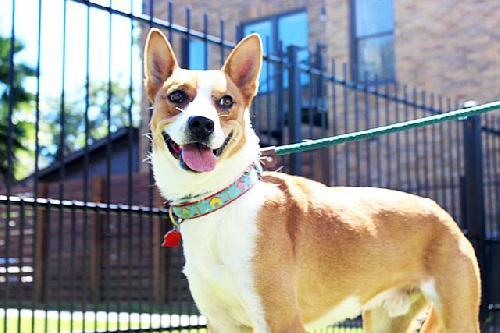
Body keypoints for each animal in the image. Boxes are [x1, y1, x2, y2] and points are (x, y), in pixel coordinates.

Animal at [144, 29, 480, 332]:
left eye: (225, 102)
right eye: (177, 96)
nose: (202, 123)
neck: (219, 199)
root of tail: (443, 214)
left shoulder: (281, 320)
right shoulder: (222, 323)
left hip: (459, 318)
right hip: (387, 319)